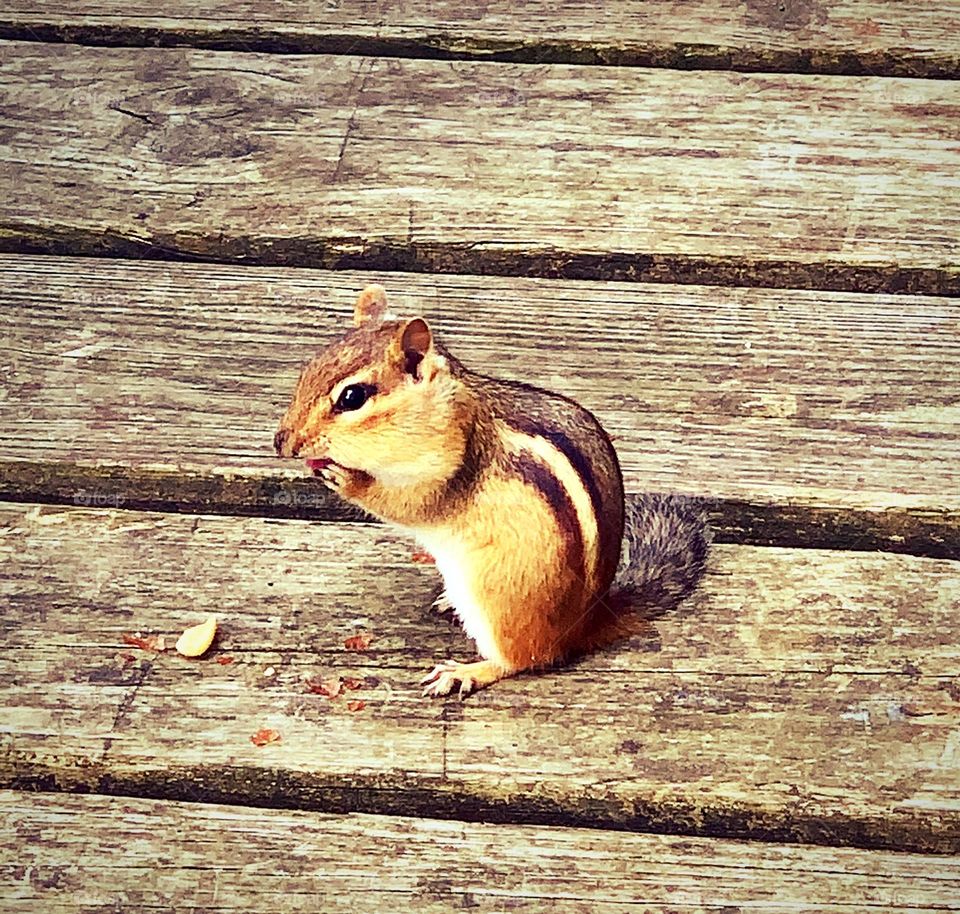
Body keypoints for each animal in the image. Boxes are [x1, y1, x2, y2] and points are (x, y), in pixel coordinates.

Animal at [275, 284, 708, 698]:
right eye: (307, 369)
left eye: (352, 397)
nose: (282, 443)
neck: (442, 408)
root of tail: (583, 625)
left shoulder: (448, 466)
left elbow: (411, 504)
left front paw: (348, 480)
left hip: (498, 600)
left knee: (524, 659)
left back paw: (467, 671)